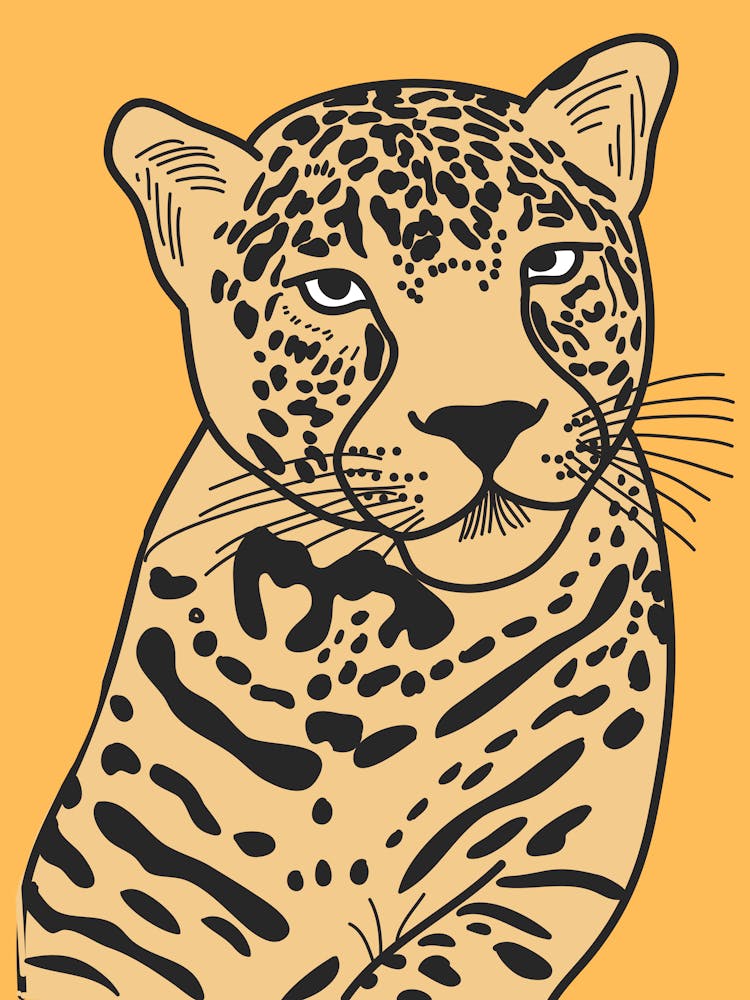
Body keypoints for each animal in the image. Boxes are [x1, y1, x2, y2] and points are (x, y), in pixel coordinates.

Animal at [18, 33, 680, 1000]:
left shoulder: (541, 871)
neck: (378, 654)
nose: (486, 420)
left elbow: (422, 976)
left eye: (552, 264)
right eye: (333, 290)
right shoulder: (100, 908)